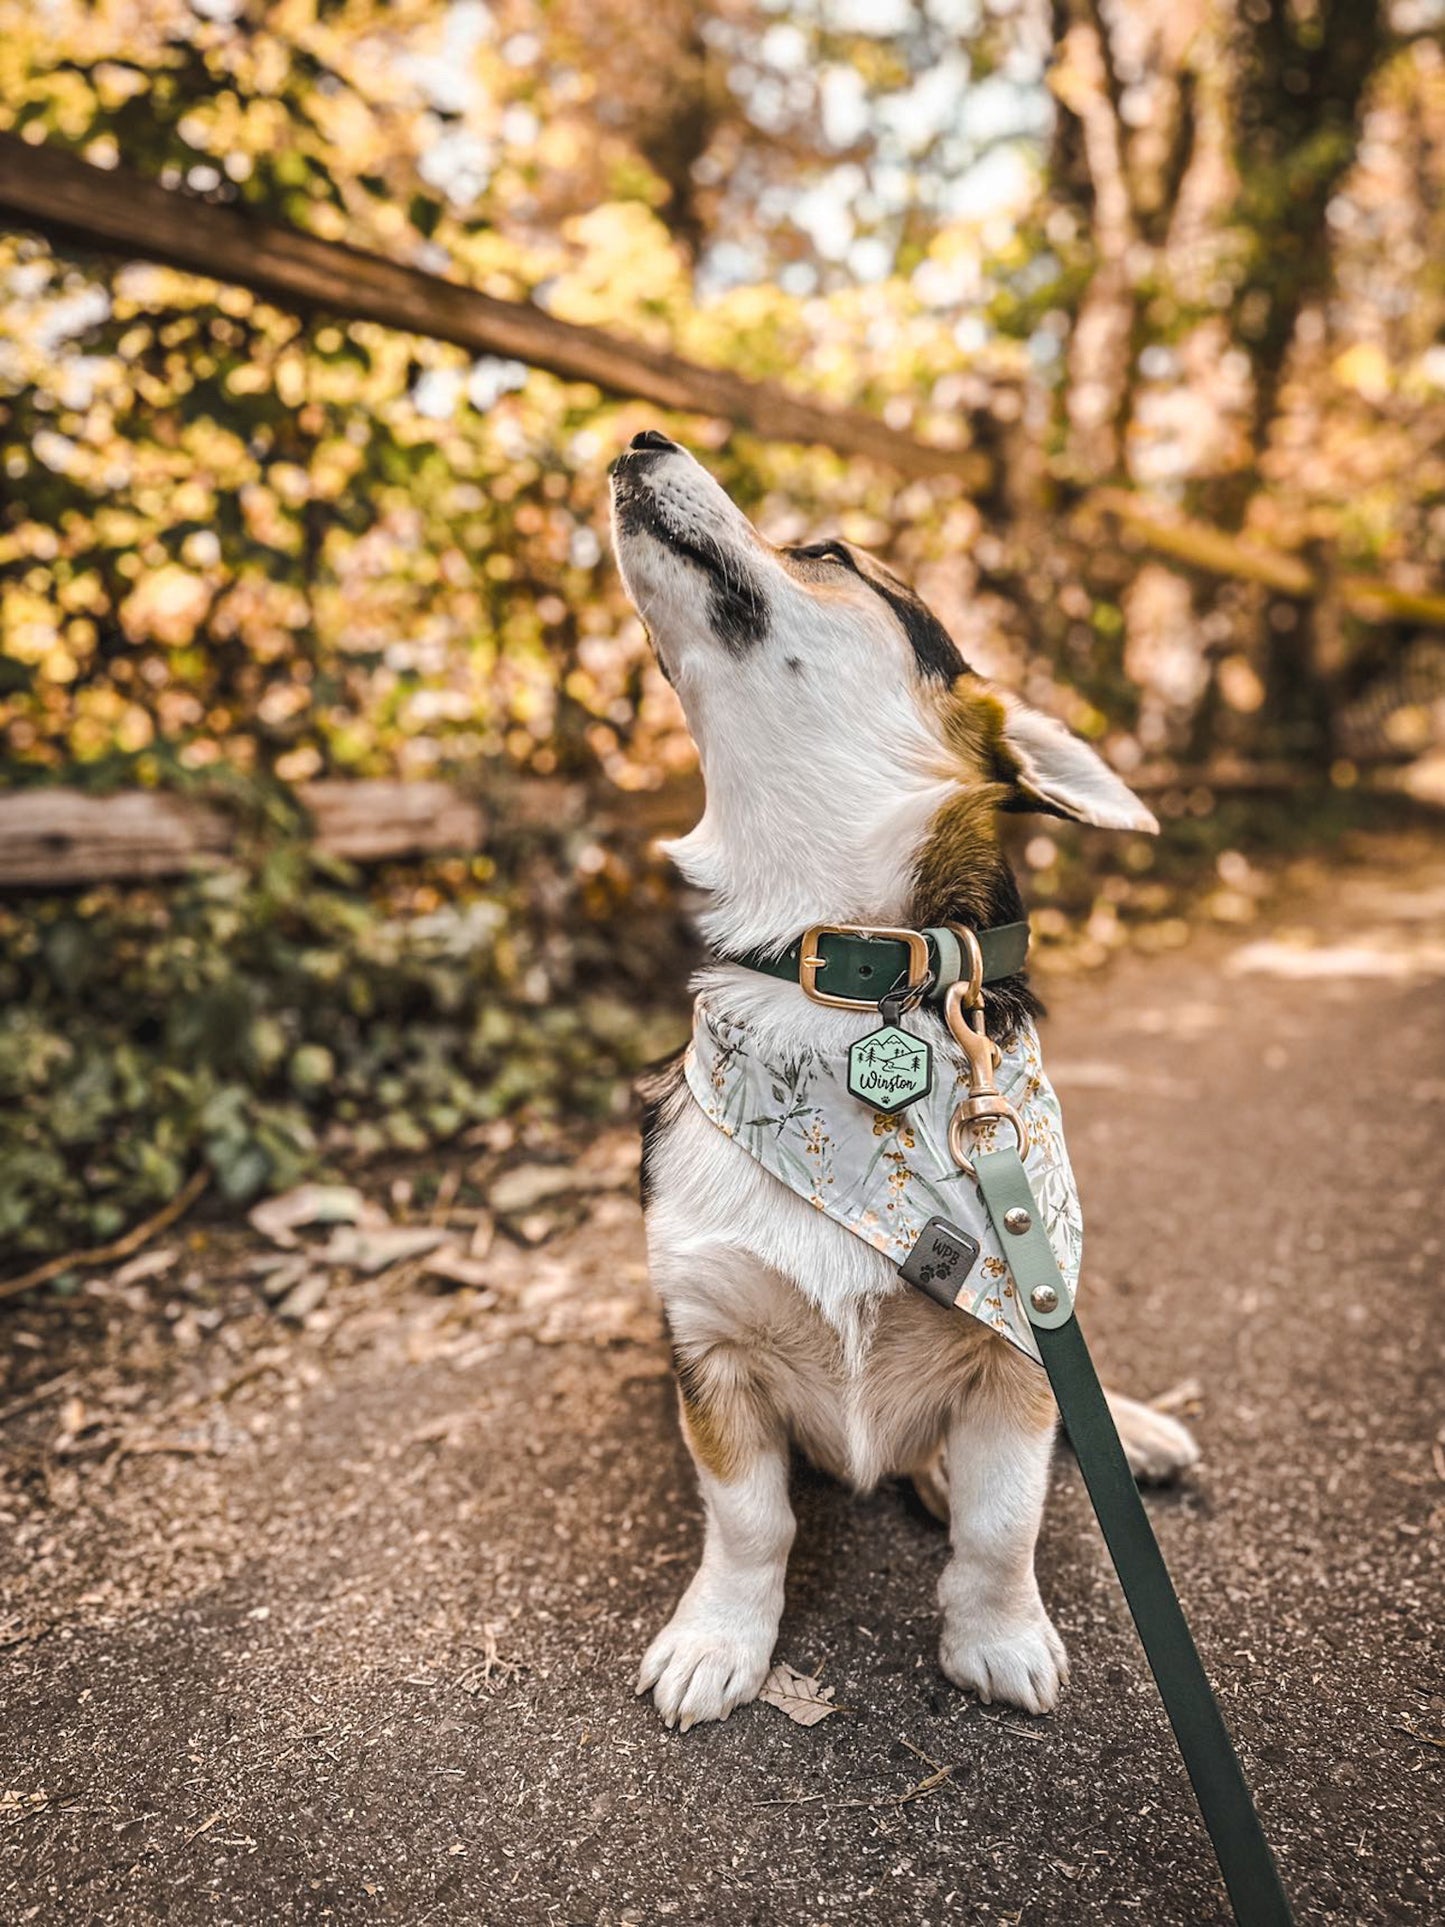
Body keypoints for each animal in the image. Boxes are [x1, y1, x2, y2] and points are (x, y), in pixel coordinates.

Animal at [612, 433, 1202, 1734]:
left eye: (828, 553)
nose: (636, 442)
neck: (835, 975)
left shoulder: (1016, 1348)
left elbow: (1001, 1521)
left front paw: (996, 1636)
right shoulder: (712, 1348)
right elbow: (749, 1523)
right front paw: (719, 1639)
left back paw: (1135, 1433)